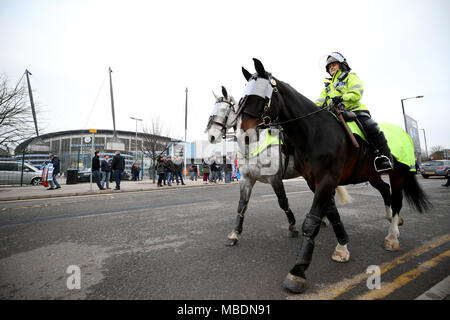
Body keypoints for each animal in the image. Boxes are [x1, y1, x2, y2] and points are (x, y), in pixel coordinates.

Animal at [234, 58, 430, 294]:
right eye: (241, 100)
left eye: (260, 98)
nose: (243, 137)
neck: (313, 132)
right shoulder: (314, 182)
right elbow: (332, 213)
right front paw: (342, 246)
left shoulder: (324, 180)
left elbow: (310, 220)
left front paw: (298, 271)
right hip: (371, 175)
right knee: (385, 192)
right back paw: (391, 218)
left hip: (398, 173)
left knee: (397, 199)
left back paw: (392, 236)